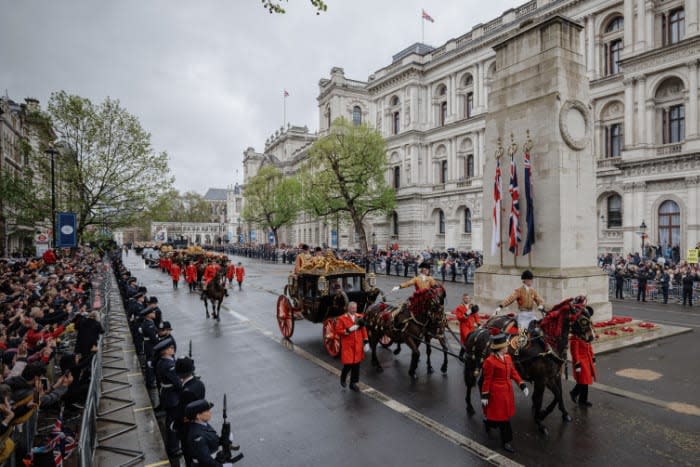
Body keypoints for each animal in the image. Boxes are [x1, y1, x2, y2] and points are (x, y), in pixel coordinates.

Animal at [462, 296, 592, 436]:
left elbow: (559, 395)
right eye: (583, 320)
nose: (591, 337)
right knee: (470, 383)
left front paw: (562, 413)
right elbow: (541, 398)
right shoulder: (542, 380)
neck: (547, 343)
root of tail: (479, 329)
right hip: (473, 363)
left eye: (589, 316)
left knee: (481, 383)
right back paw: (470, 406)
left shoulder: (554, 376)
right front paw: (540, 420)